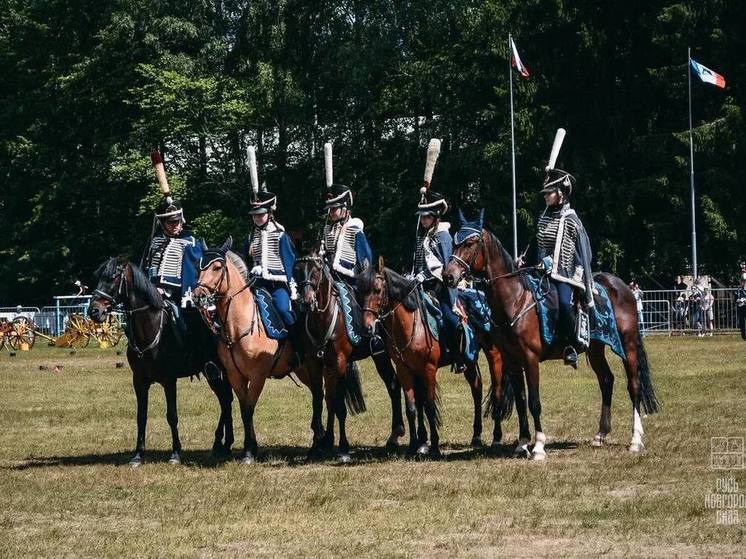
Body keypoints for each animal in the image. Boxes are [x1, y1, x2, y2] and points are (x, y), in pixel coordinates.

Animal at [88, 260, 232, 468]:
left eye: (113, 278)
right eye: (97, 277)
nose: (94, 311)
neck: (152, 328)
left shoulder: (169, 380)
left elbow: (172, 415)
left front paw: (175, 453)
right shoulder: (139, 382)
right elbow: (141, 416)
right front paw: (138, 455)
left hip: (217, 372)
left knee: (226, 400)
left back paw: (222, 444)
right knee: (225, 401)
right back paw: (222, 445)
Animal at [196, 241, 350, 464]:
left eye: (217, 268)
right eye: (199, 267)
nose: (197, 295)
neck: (240, 324)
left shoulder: (257, 376)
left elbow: (249, 409)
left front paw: (249, 451)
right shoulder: (235, 377)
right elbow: (244, 409)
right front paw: (251, 447)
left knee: (326, 398)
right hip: (305, 370)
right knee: (322, 396)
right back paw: (320, 439)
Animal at [294, 254, 404, 460]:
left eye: (316, 270)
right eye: (296, 270)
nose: (306, 301)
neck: (326, 318)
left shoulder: (339, 363)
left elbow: (339, 405)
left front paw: (343, 448)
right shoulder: (317, 364)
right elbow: (321, 400)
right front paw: (321, 444)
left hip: (382, 355)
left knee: (393, 385)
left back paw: (396, 433)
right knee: (392, 384)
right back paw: (394, 434)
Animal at [356, 260, 512, 460]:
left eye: (377, 290)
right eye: (359, 291)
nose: (367, 328)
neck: (412, 325)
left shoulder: (428, 369)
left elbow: (429, 406)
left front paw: (434, 447)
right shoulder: (405, 369)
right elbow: (412, 407)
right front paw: (414, 446)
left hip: (494, 355)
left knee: (497, 393)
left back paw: (496, 438)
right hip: (469, 359)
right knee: (476, 388)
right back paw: (476, 435)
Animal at [442, 222, 656, 460]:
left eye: (470, 243)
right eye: (455, 242)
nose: (448, 275)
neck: (516, 299)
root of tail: (622, 287)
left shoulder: (530, 359)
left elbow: (534, 402)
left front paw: (538, 447)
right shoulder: (512, 361)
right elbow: (521, 402)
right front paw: (522, 444)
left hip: (628, 344)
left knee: (634, 385)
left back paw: (635, 440)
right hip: (595, 349)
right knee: (607, 380)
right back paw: (600, 435)